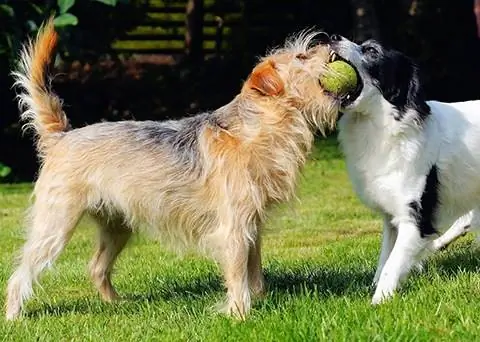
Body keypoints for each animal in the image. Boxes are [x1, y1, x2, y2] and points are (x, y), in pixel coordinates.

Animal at [5, 17, 340, 320]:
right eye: (301, 57)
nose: (333, 39)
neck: (254, 129)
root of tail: (62, 137)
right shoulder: (233, 229)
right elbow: (237, 274)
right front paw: (240, 315)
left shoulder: (253, 226)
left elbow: (254, 271)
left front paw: (259, 301)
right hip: (55, 225)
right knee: (19, 274)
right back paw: (13, 317)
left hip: (117, 227)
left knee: (96, 267)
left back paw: (117, 305)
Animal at [322, 33, 480, 304]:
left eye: (372, 51)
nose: (332, 37)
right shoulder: (391, 216)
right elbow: (385, 257)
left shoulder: (414, 216)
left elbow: (392, 264)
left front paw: (378, 301)